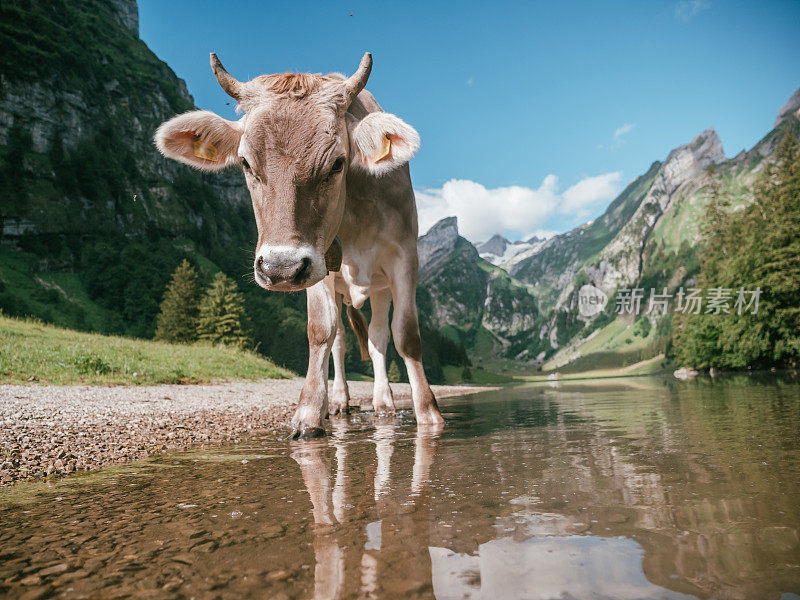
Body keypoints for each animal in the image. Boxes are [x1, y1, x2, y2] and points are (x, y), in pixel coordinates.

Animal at [155, 52, 444, 436]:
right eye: (246, 163)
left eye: (337, 162)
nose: (280, 268)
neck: (353, 217)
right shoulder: (318, 262)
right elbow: (321, 330)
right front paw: (308, 413)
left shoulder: (404, 257)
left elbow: (407, 335)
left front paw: (429, 413)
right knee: (341, 340)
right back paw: (338, 401)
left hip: (378, 286)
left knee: (378, 337)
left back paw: (383, 403)